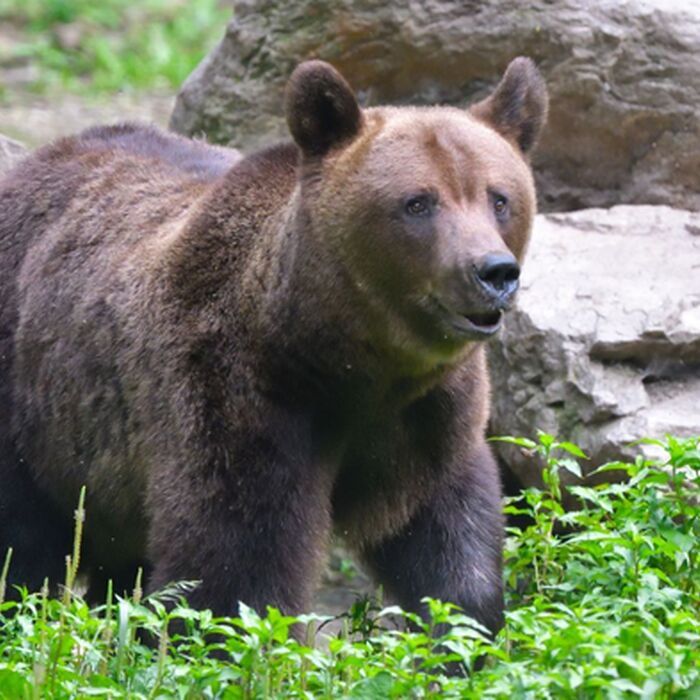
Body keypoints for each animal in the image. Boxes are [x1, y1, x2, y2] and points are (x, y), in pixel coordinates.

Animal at [0, 58, 547, 638]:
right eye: (417, 202)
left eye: (499, 197)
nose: (493, 272)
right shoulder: (238, 394)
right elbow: (237, 565)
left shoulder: (428, 419)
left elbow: (447, 544)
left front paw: (463, 632)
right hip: (30, 401)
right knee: (22, 541)